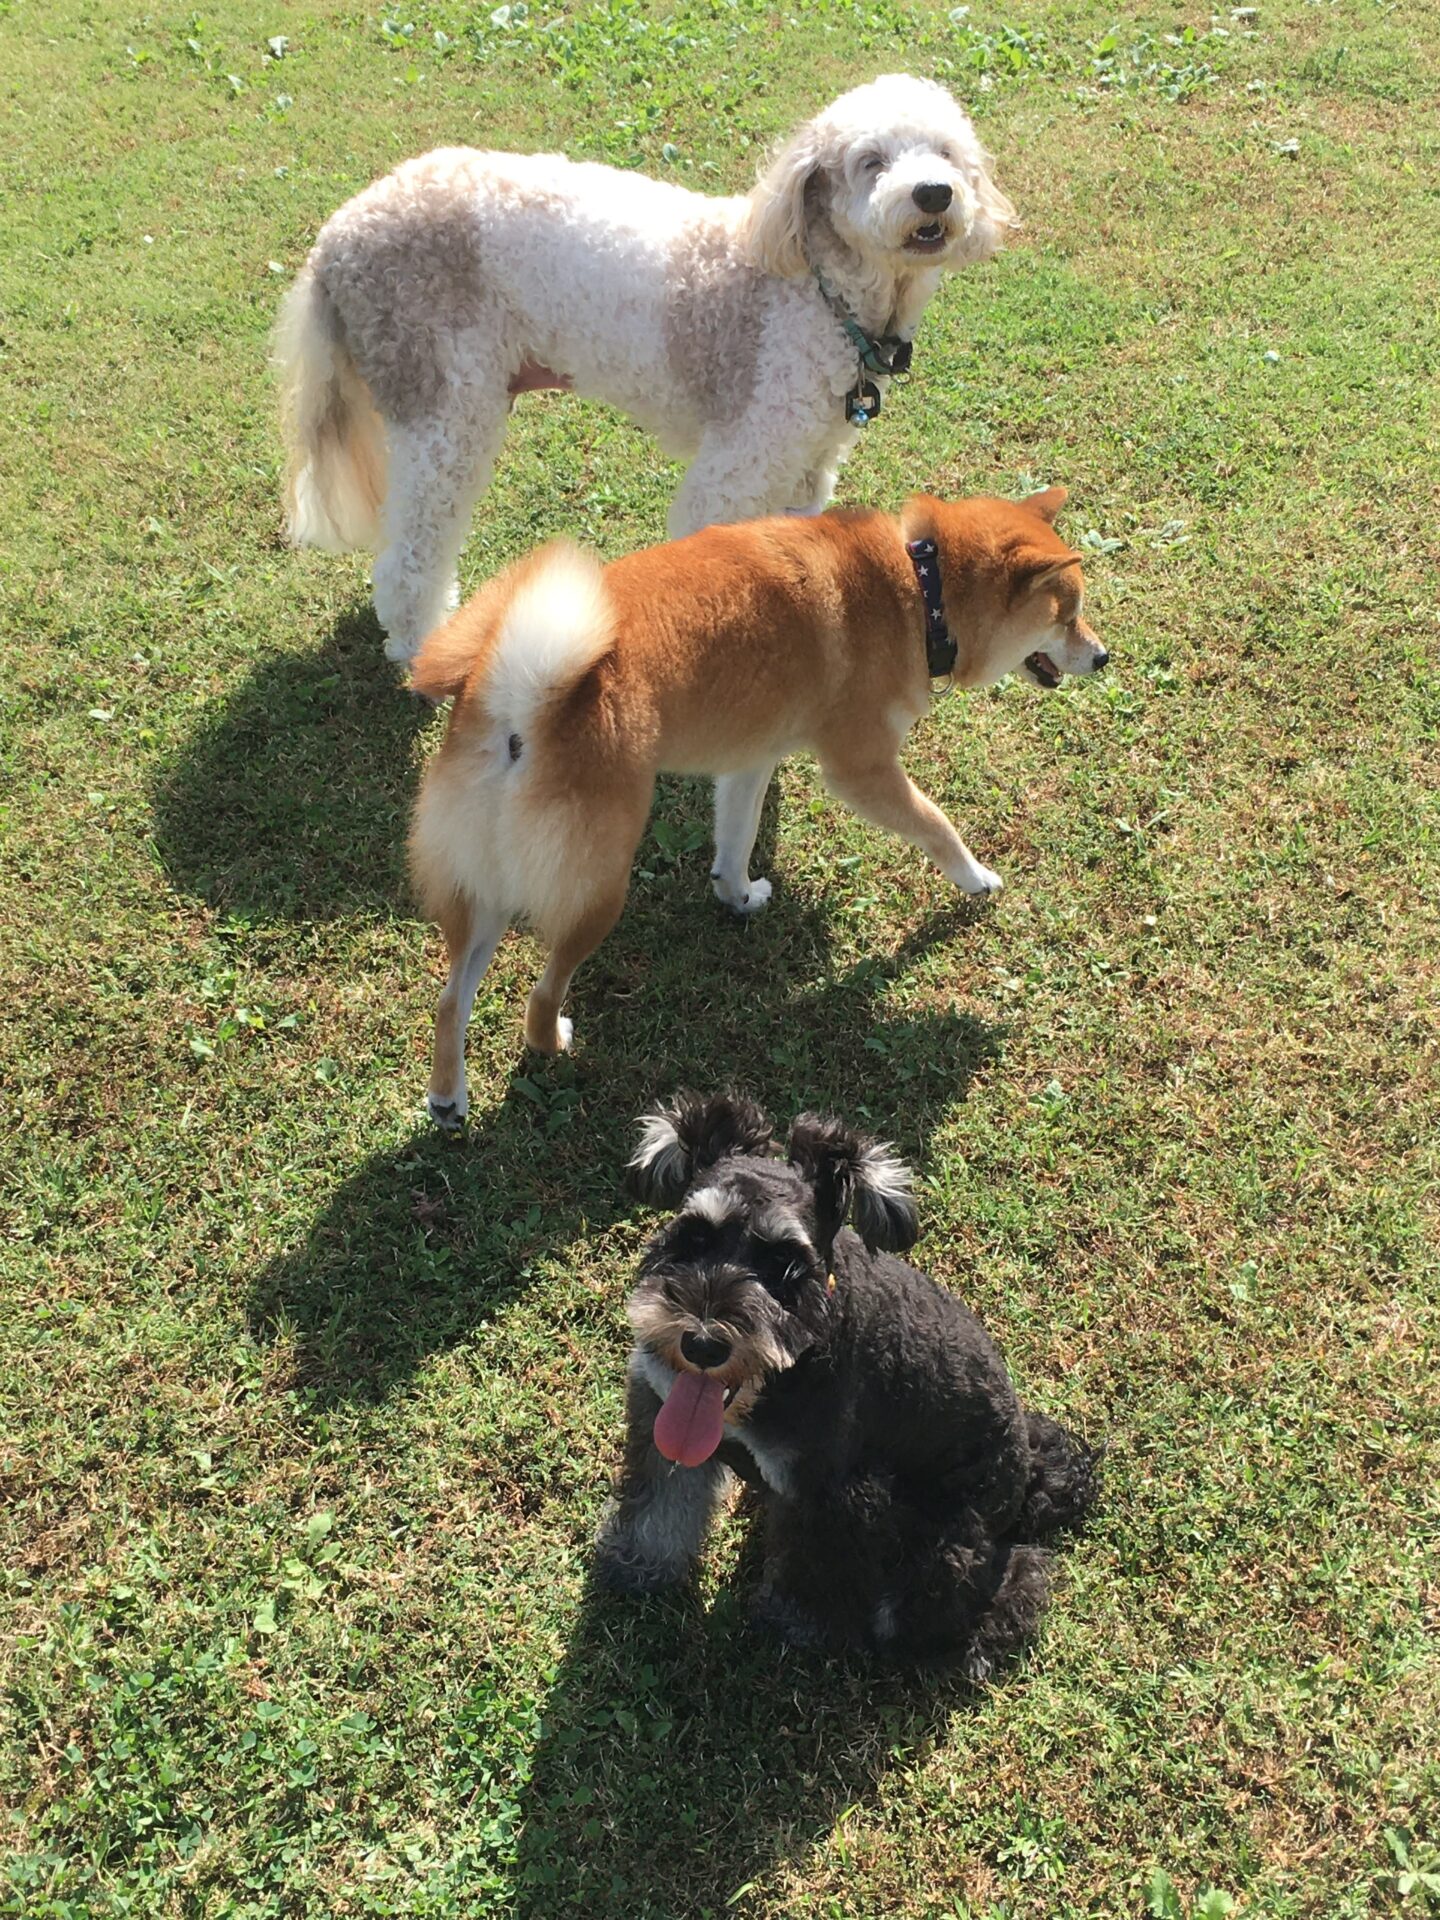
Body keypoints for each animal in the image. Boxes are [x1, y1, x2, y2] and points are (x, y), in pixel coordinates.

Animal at [274, 74, 1015, 662]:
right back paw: (420, 643)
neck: (822, 292)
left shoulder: (807, 464)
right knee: (413, 550)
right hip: (443, 407)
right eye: (870, 161)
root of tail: (333, 238)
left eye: (948, 153)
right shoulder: (732, 472)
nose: (933, 194)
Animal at [407, 487, 1107, 1125]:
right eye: (1067, 615)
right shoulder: (862, 771)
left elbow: (737, 840)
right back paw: (552, 1040)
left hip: (486, 881)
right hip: (597, 887)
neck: (918, 585)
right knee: (540, 996)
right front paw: (976, 878)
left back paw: (447, 1097)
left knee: (451, 997)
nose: (1103, 656)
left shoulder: (749, 762)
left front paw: (738, 896)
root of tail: (515, 697)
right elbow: (937, 825)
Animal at [595, 1093, 1099, 1669]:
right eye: (694, 1235)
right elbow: (660, 1503)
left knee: (1000, 1582)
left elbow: (811, 1572)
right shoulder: (659, 1408)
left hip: (942, 1552)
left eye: (785, 1265)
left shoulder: (830, 1492)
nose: (702, 1344)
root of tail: (1026, 1475)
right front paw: (640, 1565)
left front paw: (792, 1626)